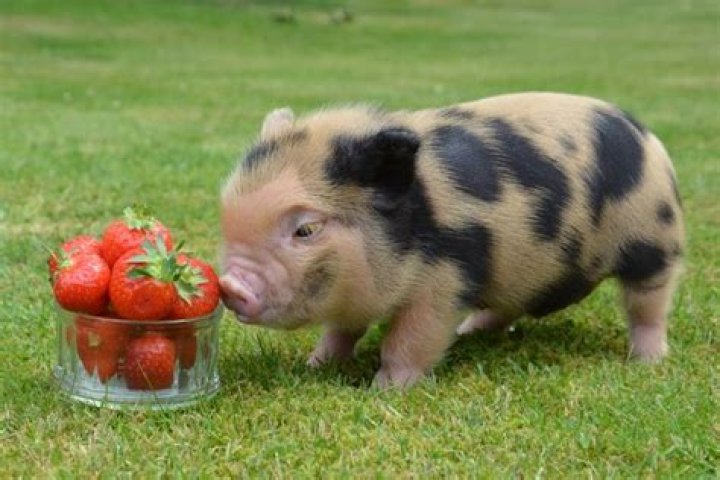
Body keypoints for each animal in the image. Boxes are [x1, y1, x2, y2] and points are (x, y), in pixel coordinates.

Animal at [220, 92, 684, 388]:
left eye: (305, 230)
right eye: (227, 214)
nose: (230, 284)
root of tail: (643, 133)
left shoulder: (445, 281)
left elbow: (411, 338)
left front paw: (386, 389)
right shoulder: (353, 291)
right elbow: (341, 331)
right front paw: (315, 366)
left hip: (655, 239)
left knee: (648, 303)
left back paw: (647, 360)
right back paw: (471, 330)